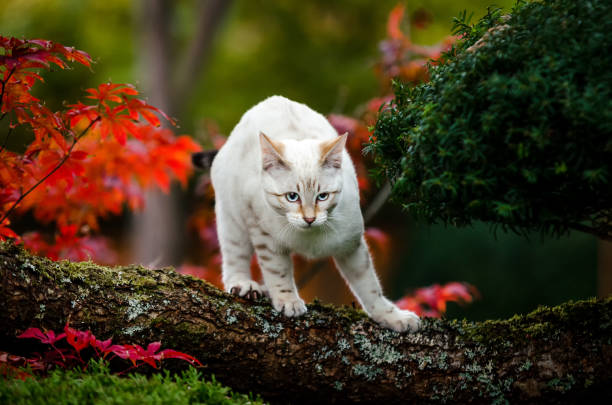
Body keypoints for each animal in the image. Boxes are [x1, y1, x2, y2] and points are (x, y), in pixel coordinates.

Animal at [192, 95, 420, 332]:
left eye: (322, 196)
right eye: (292, 197)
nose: (309, 218)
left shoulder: (352, 244)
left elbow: (369, 285)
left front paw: (392, 317)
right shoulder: (265, 237)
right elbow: (278, 272)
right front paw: (288, 301)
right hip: (232, 217)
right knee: (234, 256)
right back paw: (244, 284)